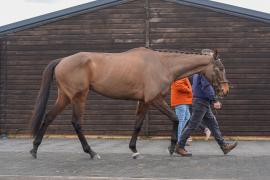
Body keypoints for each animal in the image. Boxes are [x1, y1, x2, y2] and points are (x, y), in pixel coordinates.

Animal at [29, 46, 229, 159]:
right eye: (220, 68)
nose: (225, 90)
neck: (163, 64)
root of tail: (63, 60)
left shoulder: (144, 101)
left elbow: (138, 124)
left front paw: (134, 149)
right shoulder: (154, 99)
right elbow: (175, 118)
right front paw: (172, 147)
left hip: (65, 96)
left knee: (48, 117)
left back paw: (34, 150)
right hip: (79, 97)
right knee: (76, 123)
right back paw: (92, 152)